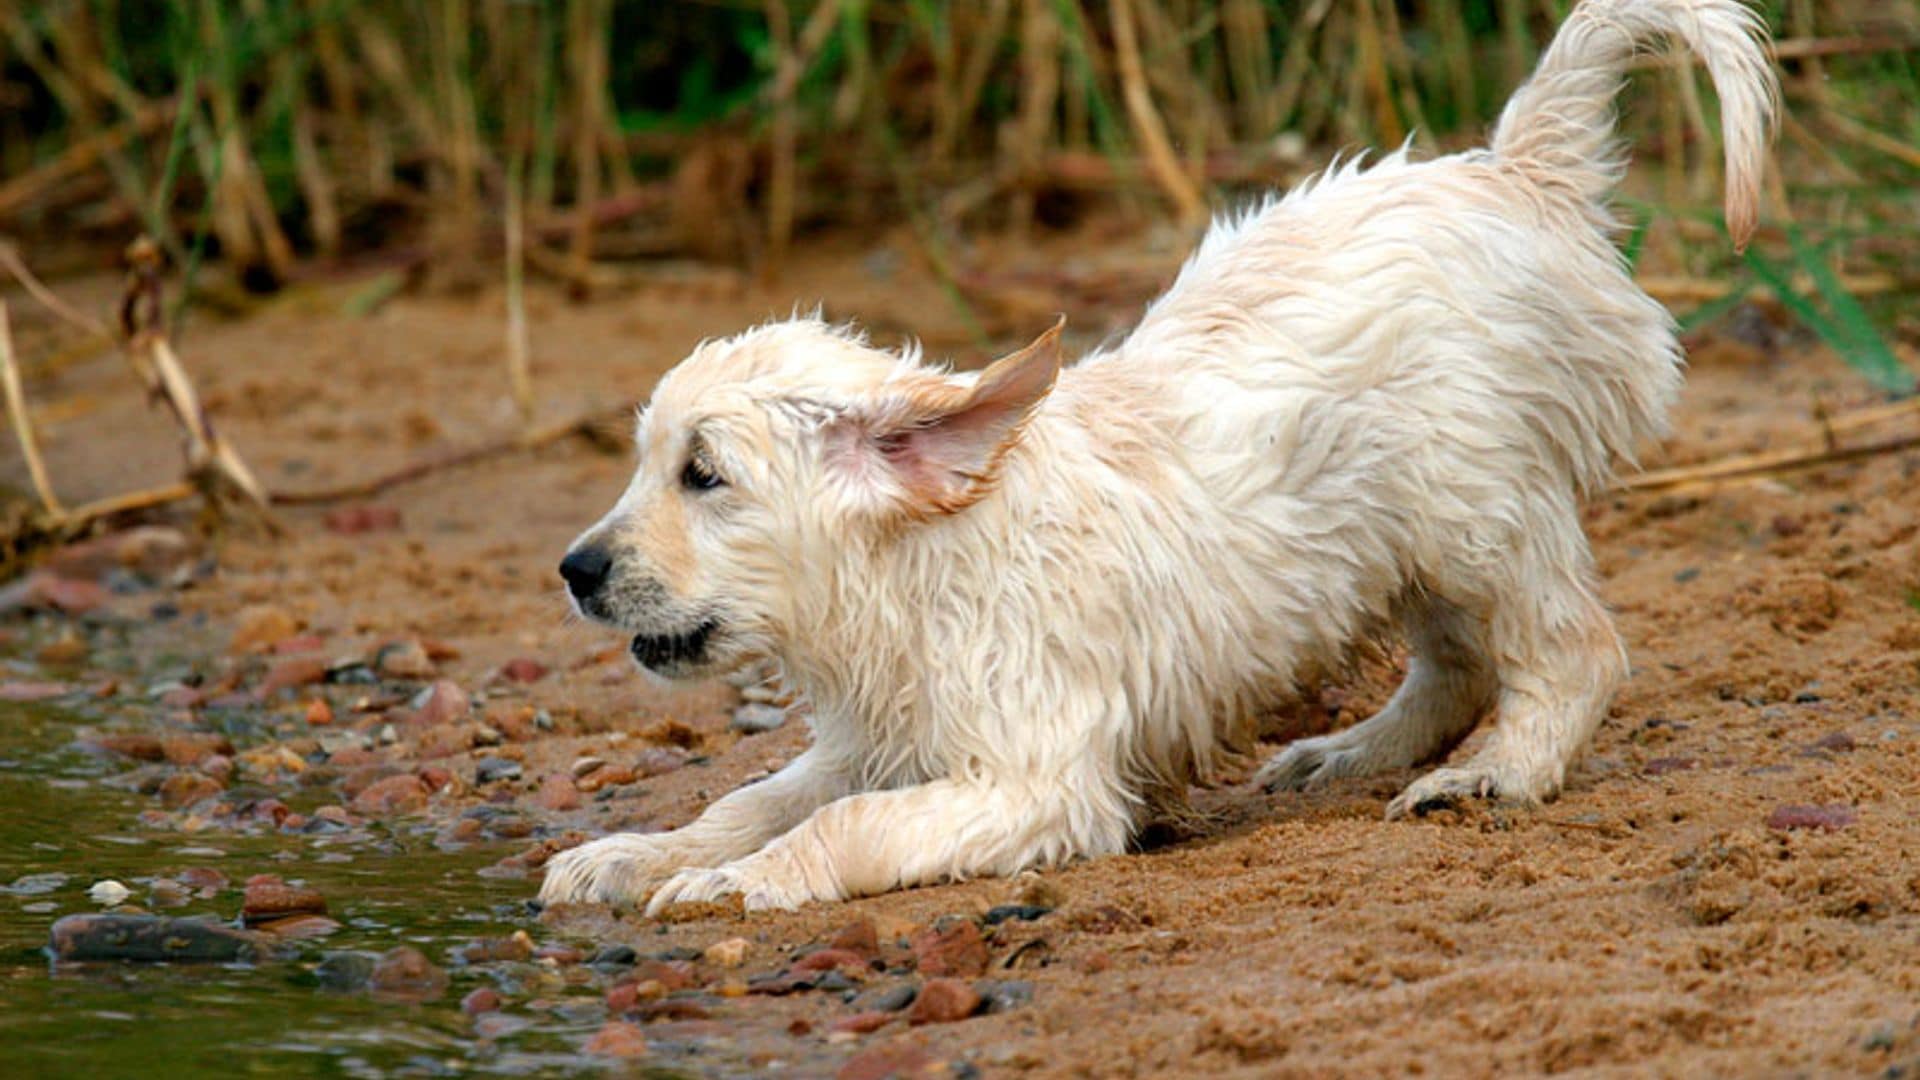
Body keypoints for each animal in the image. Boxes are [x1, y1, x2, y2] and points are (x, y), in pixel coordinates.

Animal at [537, 0, 1766, 907]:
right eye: (648, 463)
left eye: (705, 476)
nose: (575, 571)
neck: (924, 566)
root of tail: (1512, 173)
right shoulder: (882, 738)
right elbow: (753, 798)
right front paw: (637, 855)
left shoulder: (1035, 779)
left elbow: (844, 824)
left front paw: (733, 884)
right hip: (1399, 531)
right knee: (1459, 661)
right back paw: (1350, 753)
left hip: (1474, 506)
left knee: (1574, 649)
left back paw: (1494, 773)